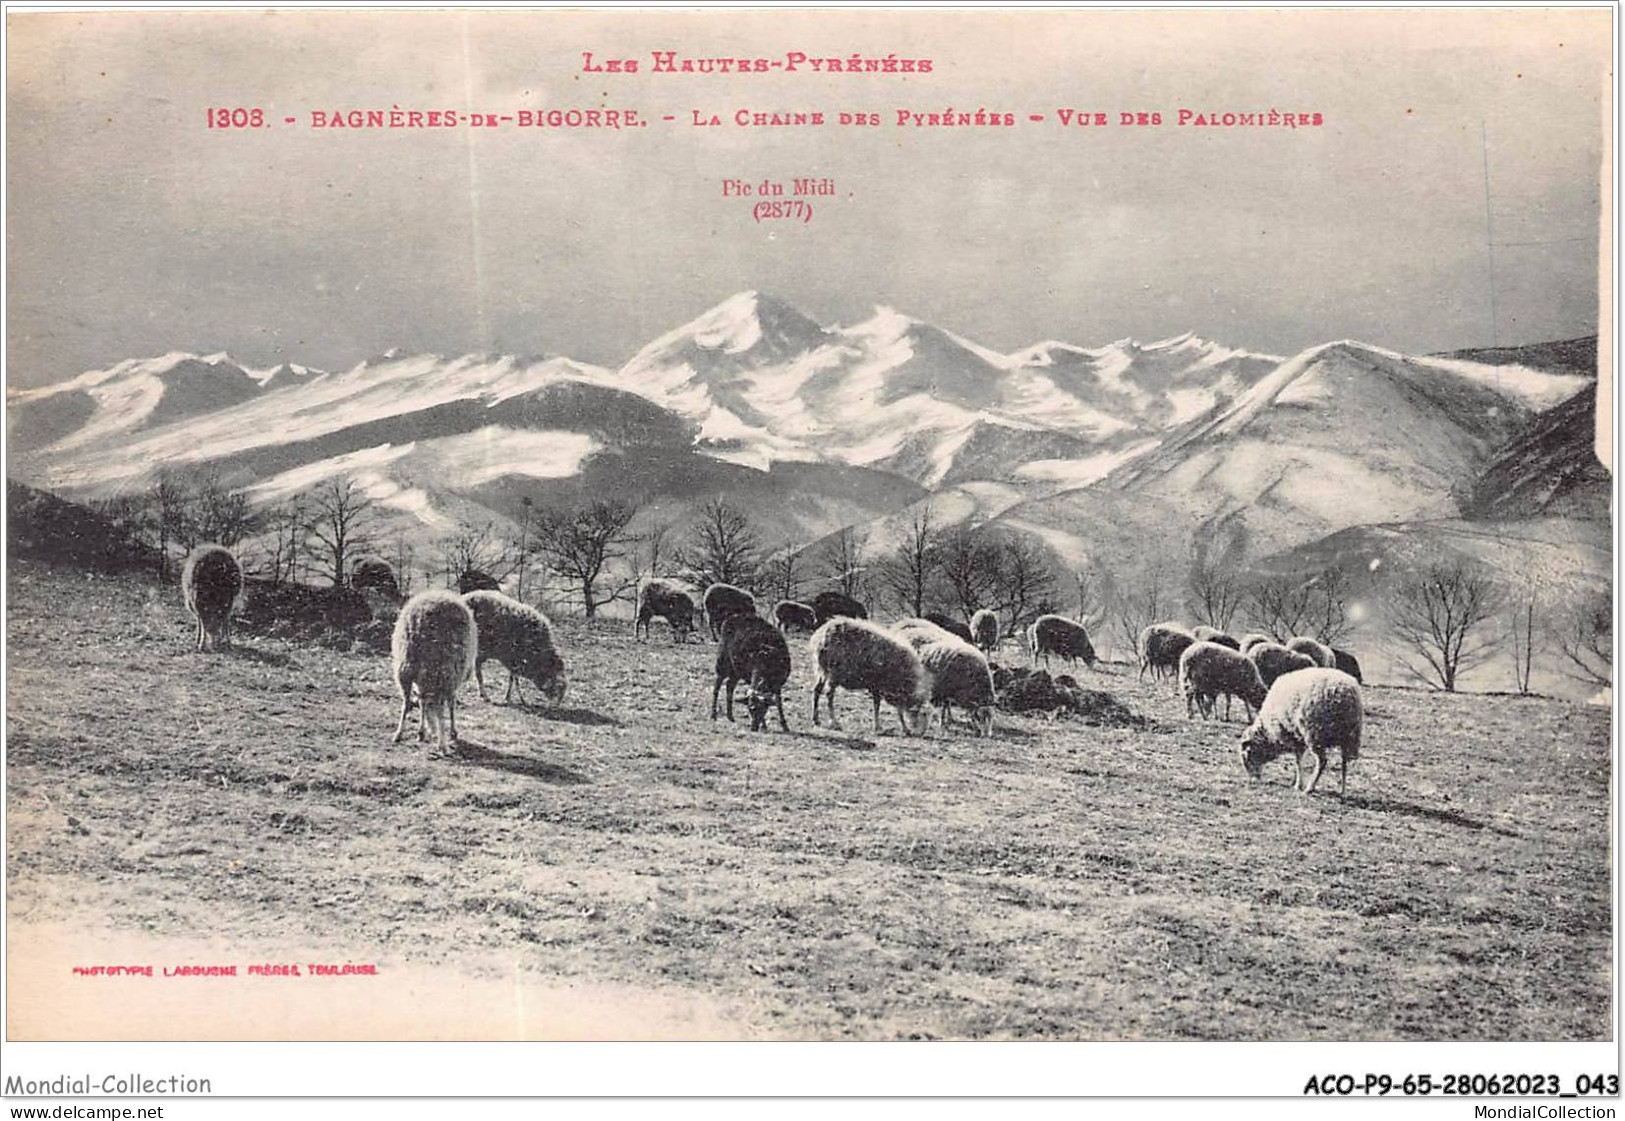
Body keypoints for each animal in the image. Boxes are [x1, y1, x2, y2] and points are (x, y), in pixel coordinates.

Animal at [388, 584, 474, 750]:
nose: (431, 729)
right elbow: (450, 703)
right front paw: (450, 733)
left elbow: (423, 702)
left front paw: (423, 732)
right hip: (444, 668)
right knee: (439, 704)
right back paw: (441, 743)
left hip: (406, 666)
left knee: (407, 701)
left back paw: (399, 734)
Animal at [1235, 662, 1365, 796]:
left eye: (1247, 756)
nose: (1253, 780)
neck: (1268, 733)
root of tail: (1345, 692)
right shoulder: (1298, 737)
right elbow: (1299, 761)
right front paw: (1296, 781)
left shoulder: (1293, 735)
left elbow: (1298, 761)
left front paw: (1298, 784)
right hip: (1349, 736)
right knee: (1344, 762)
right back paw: (1342, 790)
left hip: (1315, 734)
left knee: (1322, 761)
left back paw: (1310, 788)